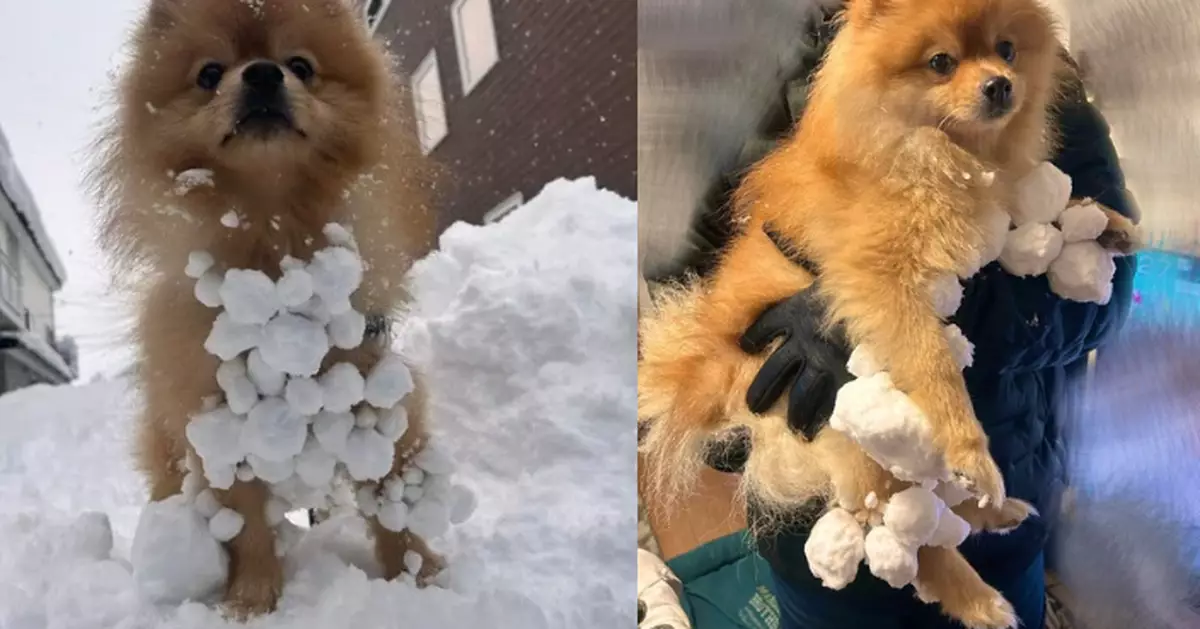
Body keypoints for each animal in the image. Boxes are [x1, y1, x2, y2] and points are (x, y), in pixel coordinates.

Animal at [88, 0, 444, 619]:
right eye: (209, 74)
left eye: (300, 66)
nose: (261, 74)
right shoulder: (219, 429)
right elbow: (248, 524)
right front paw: (252, 600)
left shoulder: (377, 396)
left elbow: (392, 498)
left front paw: (417, 576)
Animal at [638, 0, 1132, 624]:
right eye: (940, 62)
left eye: (1007, 49)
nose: (1001, 84)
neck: (939, 147)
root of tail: (709, 371)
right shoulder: (885, 284)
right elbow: (936, 370)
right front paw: (969, 445)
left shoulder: (992, 202)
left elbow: (1039, 212)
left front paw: (1106, 222)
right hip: (837, 422)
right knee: (900, 534)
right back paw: (979, 596)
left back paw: (995, 511)